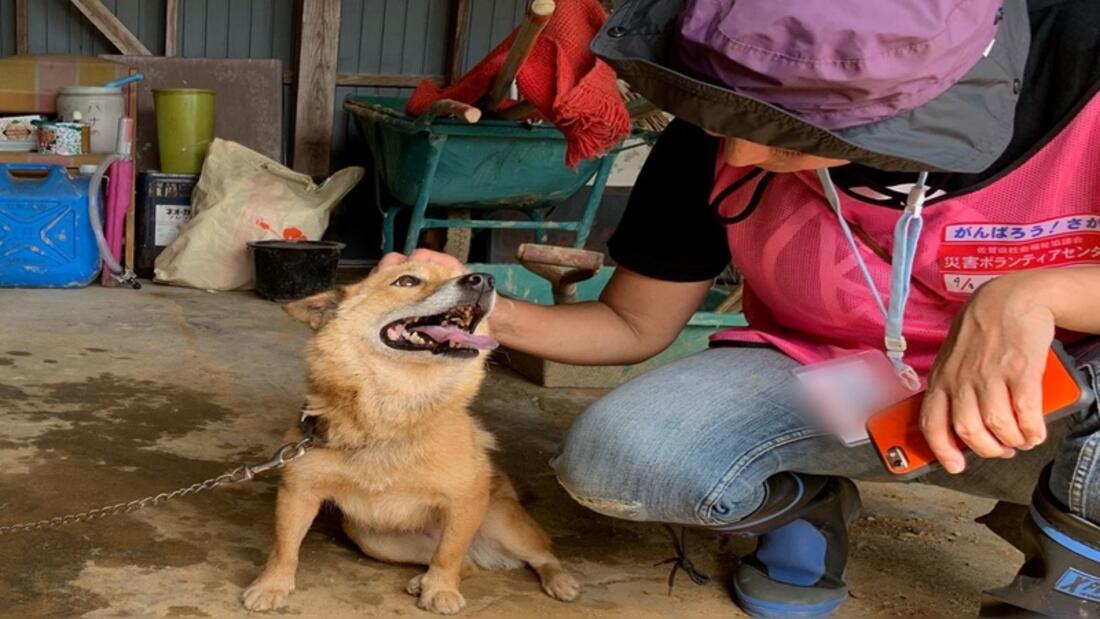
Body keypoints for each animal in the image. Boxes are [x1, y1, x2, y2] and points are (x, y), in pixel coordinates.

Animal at [242, 262, 580, 615]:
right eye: (407, 281)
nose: (484, 279)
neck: (391, 413)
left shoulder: (467, 499)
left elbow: (448, 555)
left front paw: (441, 590)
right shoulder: (298, 492)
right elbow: (284, 548)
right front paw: (271, 585)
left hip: (500, 521)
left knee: (535, 554)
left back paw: (559, 580)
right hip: (373, 538)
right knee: (468, 564)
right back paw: (423, 580)